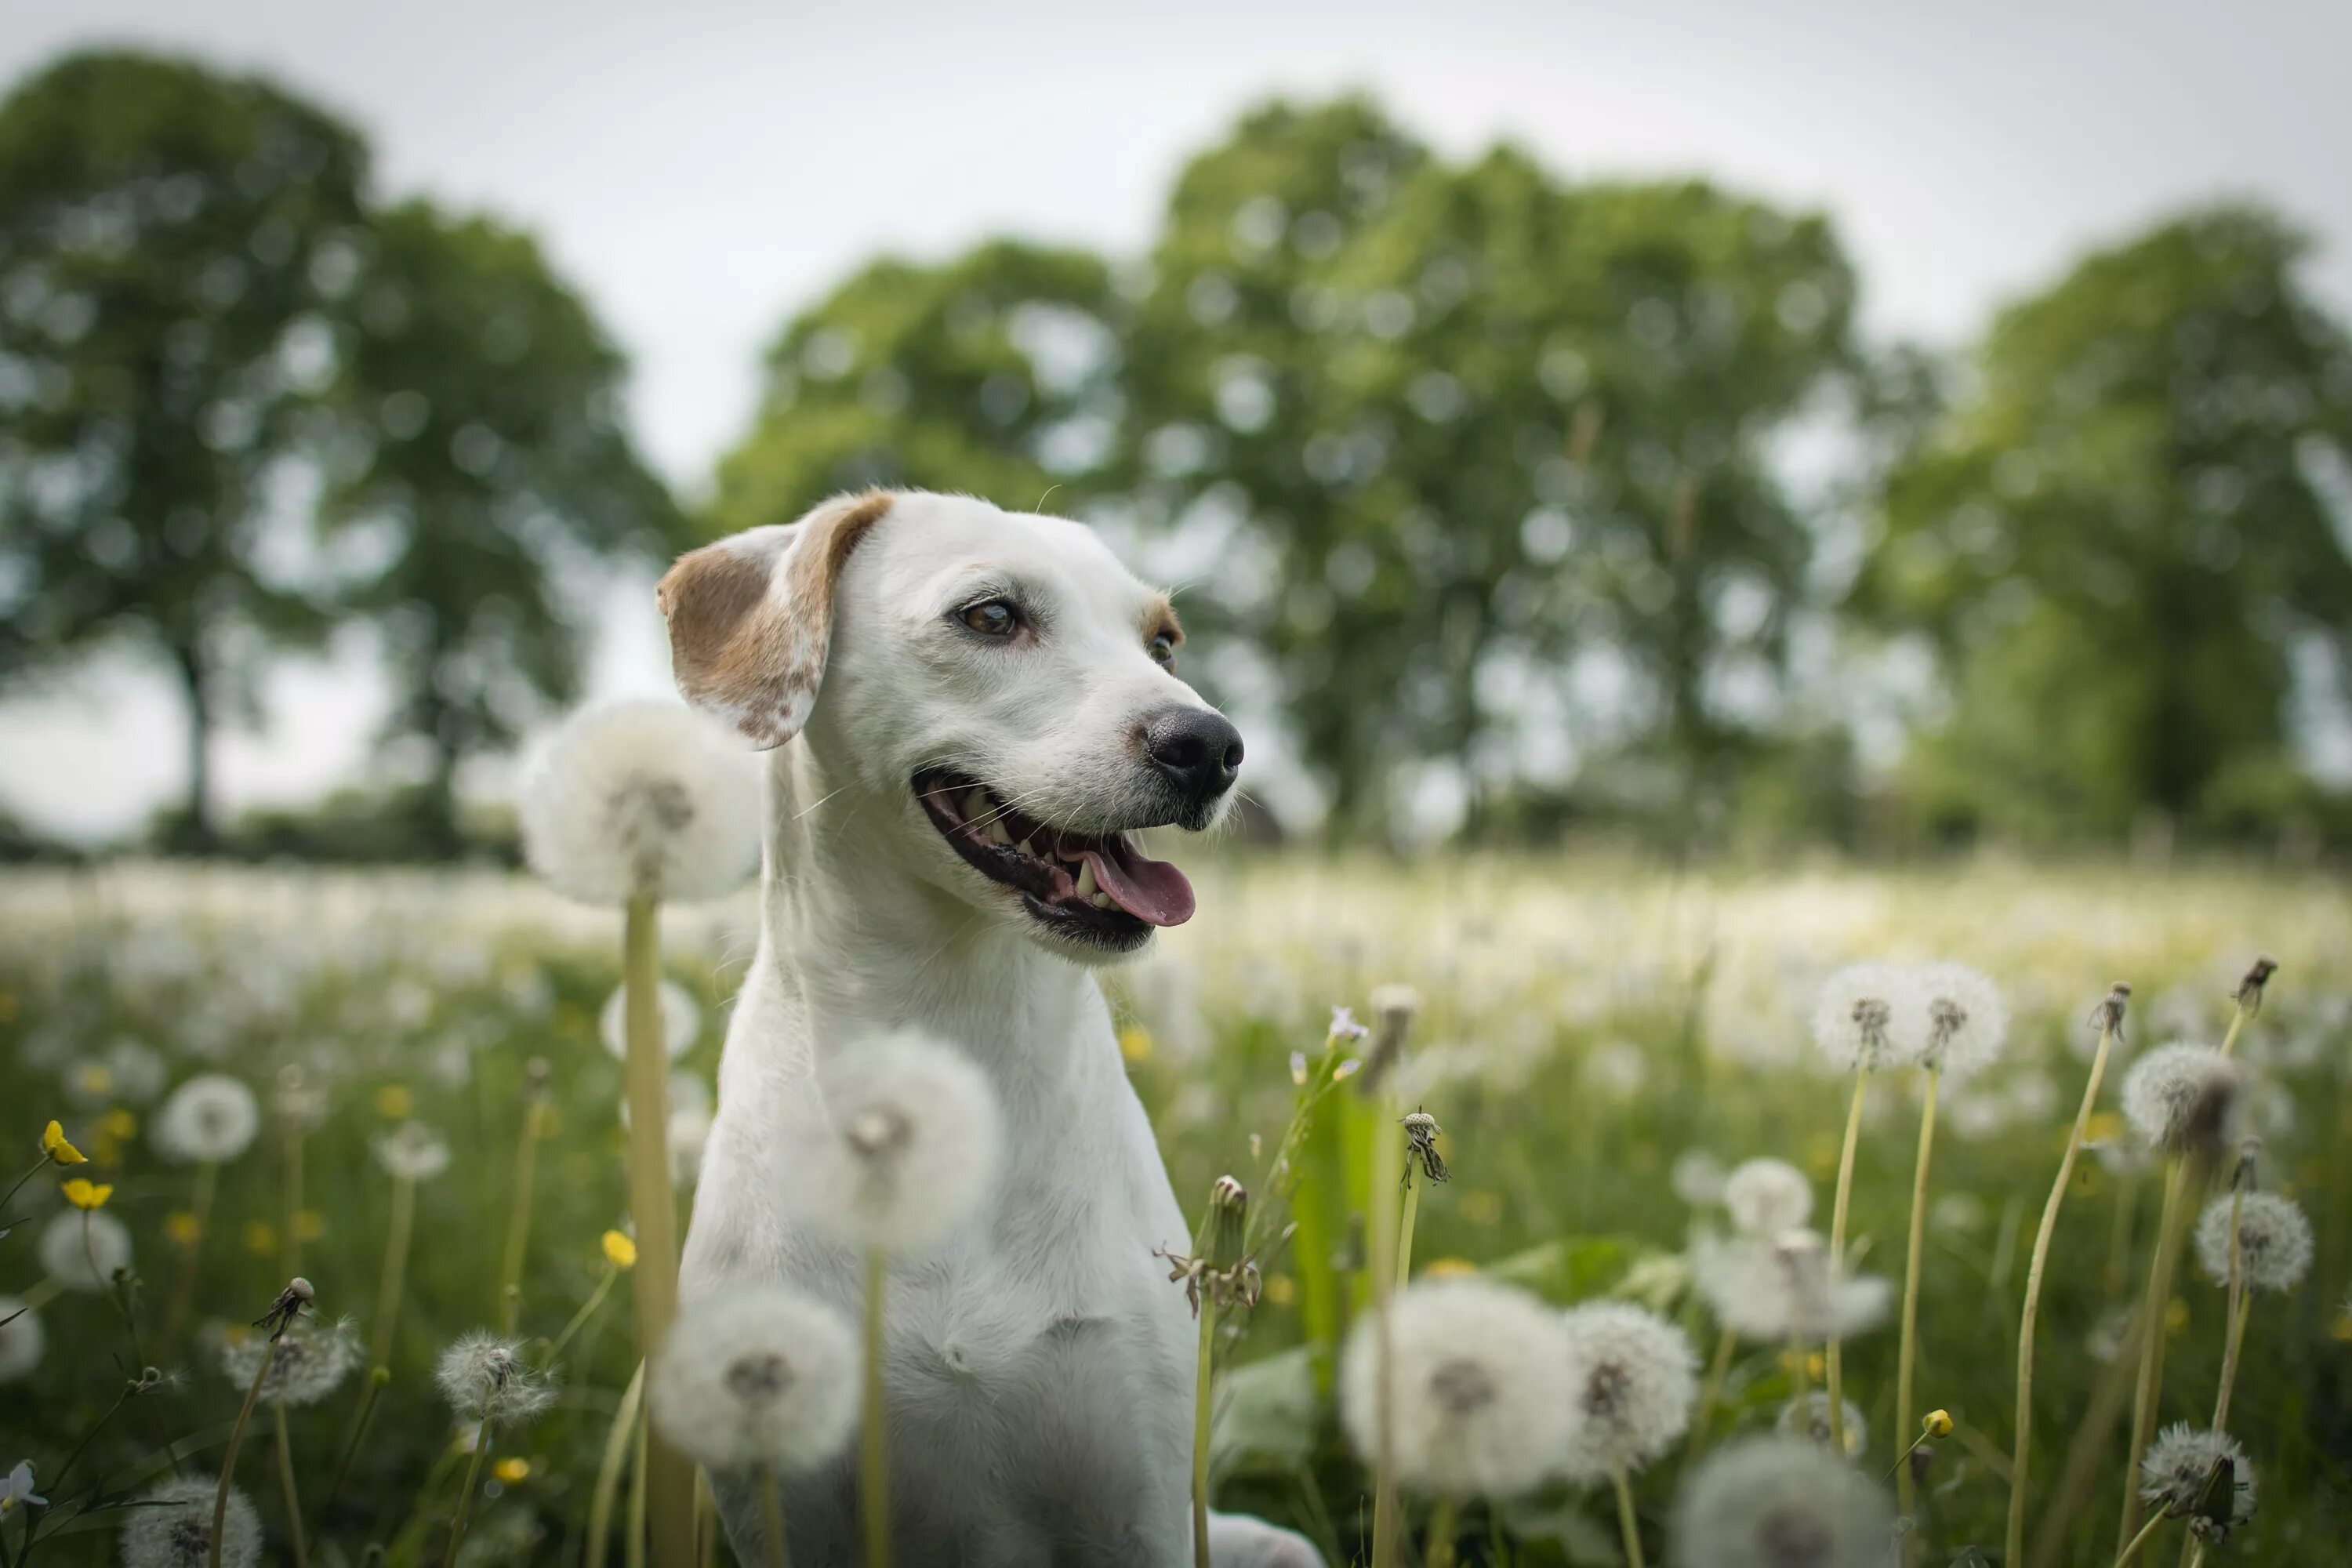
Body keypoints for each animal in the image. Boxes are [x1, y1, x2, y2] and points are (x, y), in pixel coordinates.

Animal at [663, 491, 1327, 1568]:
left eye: (1164, 641)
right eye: (990, 615)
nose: (1212, 746)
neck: (950, 1040)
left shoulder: (1140, 1501)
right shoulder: (784, 1507)